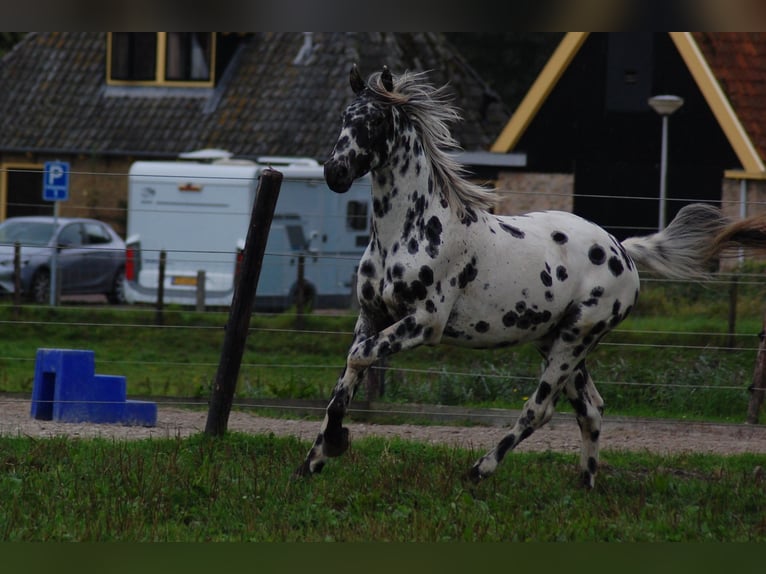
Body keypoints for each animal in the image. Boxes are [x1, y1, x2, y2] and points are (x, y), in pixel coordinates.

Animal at [296, 66, 766, 490]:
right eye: (345, 115)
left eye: (375, 120)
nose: (335, 173)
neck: (408, 230)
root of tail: (622, 250)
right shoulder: (372, 316)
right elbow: (347, 376)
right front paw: (315, 459)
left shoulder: (424, 324)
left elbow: (359, 358)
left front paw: (334, 444)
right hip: (555, 338)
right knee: (591, 408)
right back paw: (584, 486)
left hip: (576, 338)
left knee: (540, 409)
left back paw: (480, 470)